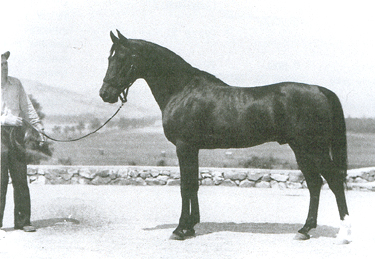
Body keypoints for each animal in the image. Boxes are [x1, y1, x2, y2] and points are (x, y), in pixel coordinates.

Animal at [100, 31, 352, 244]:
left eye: (122, 58)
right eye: (109, 58)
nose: (105, 94)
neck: (182, 90)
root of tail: (319, 90)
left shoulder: (184, 147)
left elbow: (185, 186)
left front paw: (180, 230)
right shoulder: (193, 148)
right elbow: (194, 185)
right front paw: (191, 226)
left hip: (314, 149)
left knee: (334, 181)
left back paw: (344, 233)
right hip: (301, 149)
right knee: (315, 184)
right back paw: (304, 230)